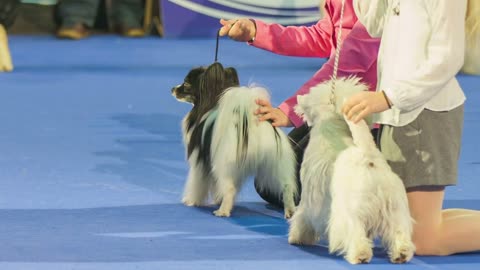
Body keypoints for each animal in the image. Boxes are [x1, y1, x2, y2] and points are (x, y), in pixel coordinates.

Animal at [171, 62, 298, 218]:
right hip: (276, 163)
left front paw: (192, 201)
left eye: (187, 84)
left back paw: (222, 211)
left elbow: (197, 183)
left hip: (224, 165)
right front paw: (217, 199)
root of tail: (253, 124)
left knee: (229, 188)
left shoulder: (199, 161)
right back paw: (290, 212)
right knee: (287, 187)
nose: (172, 89)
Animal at [288, 77, 416, 264]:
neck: (332, 126)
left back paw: (359, 255)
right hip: (395, 208)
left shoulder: (309, 199)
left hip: (352, 211)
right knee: (399, 231)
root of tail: (368, 156)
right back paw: (401, 253)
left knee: (355, 234)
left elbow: (302, 217)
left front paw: (298, 236)